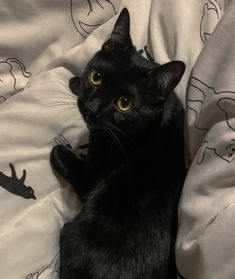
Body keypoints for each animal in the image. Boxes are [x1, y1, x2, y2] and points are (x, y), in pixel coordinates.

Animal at [50, 8, 186, 279]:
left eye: (125, 103)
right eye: (96, 77)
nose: (91, 109)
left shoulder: (91, 176)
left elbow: (71, 163)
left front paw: (61, 149)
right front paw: (75, 82)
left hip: (68, 232)